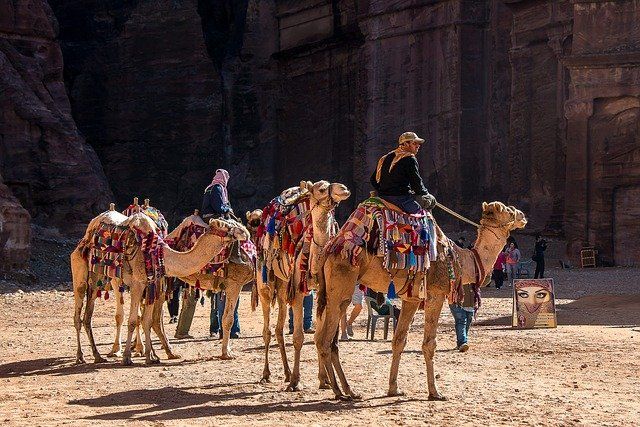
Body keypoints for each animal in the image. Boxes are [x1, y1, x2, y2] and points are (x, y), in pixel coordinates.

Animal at [71, 209, 250, 365]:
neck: (159, 252)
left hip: (98, 278)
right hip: (80, 270)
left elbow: (147, 320)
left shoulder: (151, 284)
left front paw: (151, 357)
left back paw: (98, 356)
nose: (246, 233)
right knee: (78, 315)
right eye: (228, 226)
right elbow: (133, 320)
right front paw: (128, 357)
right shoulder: (138, 284)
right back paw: (81, 356)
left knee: (88, 317)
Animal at [256, 180, 350, 391]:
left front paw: (323, 380)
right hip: (264, 283)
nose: (344, 188)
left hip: (283, 286)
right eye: (321, 189)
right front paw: (295, 381)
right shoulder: (299, 293)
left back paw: (286, 372)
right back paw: (267, 374)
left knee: (278, 329)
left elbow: (317, 337)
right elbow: (298, 337)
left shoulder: (322, 292)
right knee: (267, 330)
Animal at [314, 201, 527, 400]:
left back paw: (347, 390)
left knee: (326, 340)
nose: (522, 216)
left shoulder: (412, 299)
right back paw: (338, 391)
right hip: (341, 287)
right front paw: (435, 392)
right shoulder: (435, 294)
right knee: (325, 340)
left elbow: (399, 340)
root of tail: (329, 250)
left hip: (330, 295)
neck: (460, 259)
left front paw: (394, 388)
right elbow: (429, 344)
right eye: (508, 211)